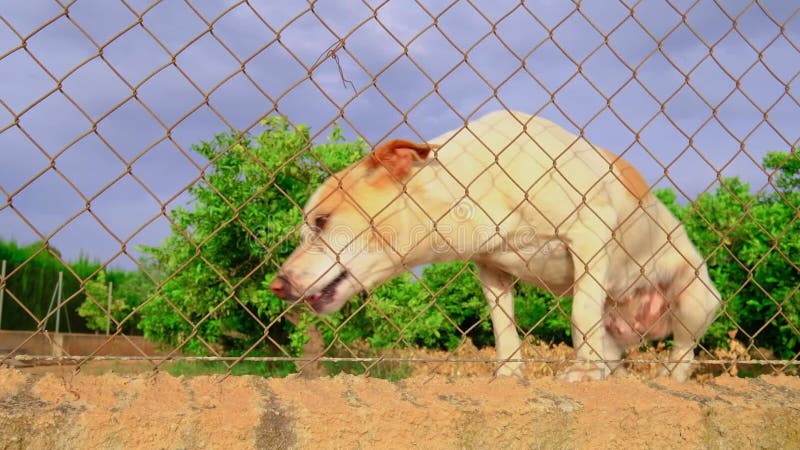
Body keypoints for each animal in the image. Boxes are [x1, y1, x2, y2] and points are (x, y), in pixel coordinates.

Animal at [272, 110, 720, 382]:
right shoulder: (492, 270)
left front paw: (580, 374)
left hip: (693, 298)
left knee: (684, 351)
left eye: (322, 221)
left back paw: (666, 376)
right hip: (620, 329)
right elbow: (504, 330)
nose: (277, 285)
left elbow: (579, 313)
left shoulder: (590, 232)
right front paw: (509, 376)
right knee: (611, 351)